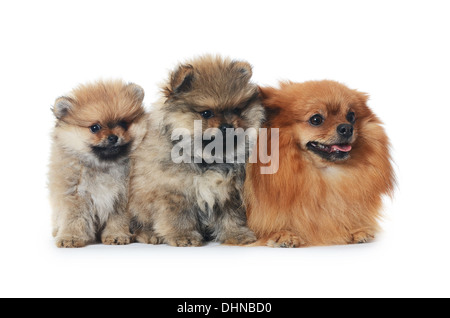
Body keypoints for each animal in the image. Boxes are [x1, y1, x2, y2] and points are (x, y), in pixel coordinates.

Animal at [128, 55, 266, 246]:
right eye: (206, 113)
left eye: (236, 110)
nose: (227, 126)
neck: (206, 159)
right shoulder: (174, 192)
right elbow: (179, 217)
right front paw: (183, 236)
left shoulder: (228, 192)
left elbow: (231, 216)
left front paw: (236, 234)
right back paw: (149, 235)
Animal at [244, 80, 396, 247]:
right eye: (316, 119)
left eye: (351, 116)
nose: (347, 128)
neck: (321, 173)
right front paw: (281, 234)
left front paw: (352, 231)